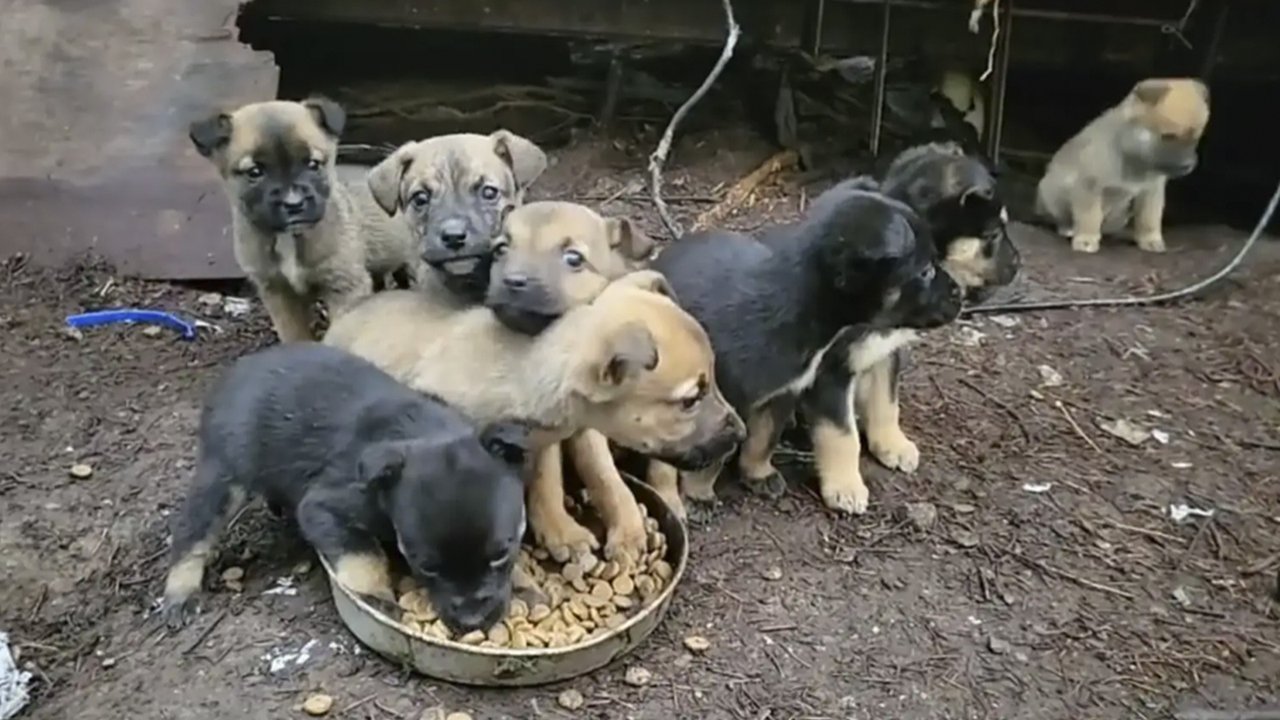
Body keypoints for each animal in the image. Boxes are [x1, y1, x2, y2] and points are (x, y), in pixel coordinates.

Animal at [160, 340, 529, 632]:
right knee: (192, 534)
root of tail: (233, 373)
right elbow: (363, 557)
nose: (472, 622)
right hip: (223, 478)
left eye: (502, 553)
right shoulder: (325, 508)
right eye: (426, 567)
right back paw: (180, 592)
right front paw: (377, 597)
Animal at [186, 96, 417, 340]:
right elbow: (295, 336)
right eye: (255, 172)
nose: (294, 203)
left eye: (313, 164)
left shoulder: (344, 285)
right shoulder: (278, 293)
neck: (288, 239)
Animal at [650, 180, 962, 515]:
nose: (961, 294)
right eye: (925, 271)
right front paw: (845, 487)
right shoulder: (828, 378)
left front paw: (892, 445)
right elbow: (843, 435)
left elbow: (885, 404)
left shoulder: (878, 356)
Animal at [1034, 76, 1203, 252]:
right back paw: (1067, 228)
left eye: (1196, 139)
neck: (1133, 157)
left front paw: (1150, 240)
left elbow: (1149, 219)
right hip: (1052, 193)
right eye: (1168, 136)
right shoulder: (1089, 186)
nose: (1188, 165)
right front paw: (1086, 238)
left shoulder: (1151, 192)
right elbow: (1089, 216)